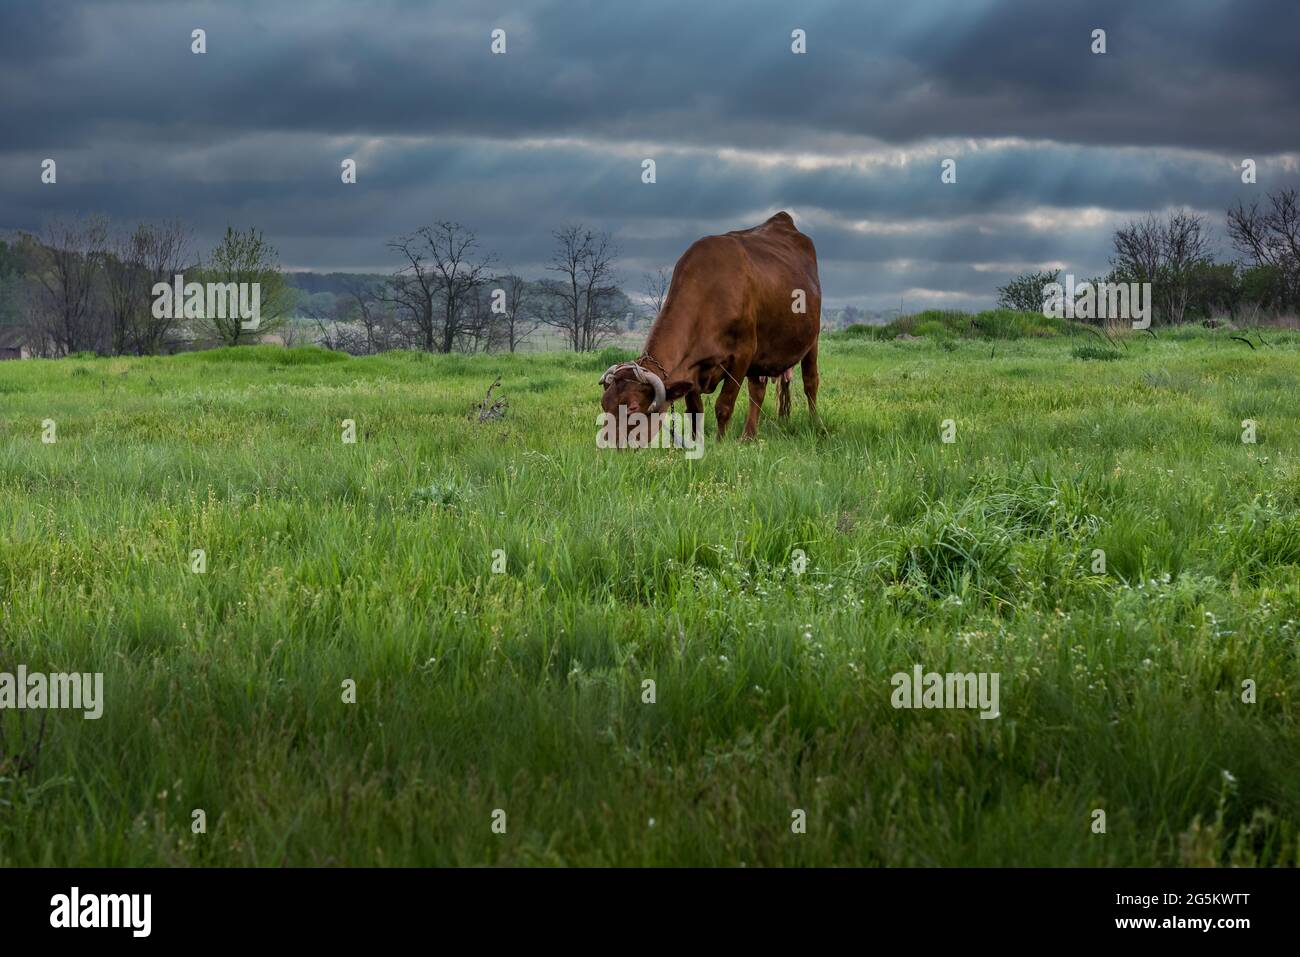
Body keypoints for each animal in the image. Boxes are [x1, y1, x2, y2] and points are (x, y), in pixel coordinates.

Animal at [600, 210, 821, 442]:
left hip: (811, 340)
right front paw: (696, 442)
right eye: (604, 404)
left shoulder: (742, 356)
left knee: (810, 383)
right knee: (757, 390)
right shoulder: (691, 368)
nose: (606, 444)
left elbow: (724, 405)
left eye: (633, 408)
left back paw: (816, 424)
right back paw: (748, 436)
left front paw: (720, 442)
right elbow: (695, 410)